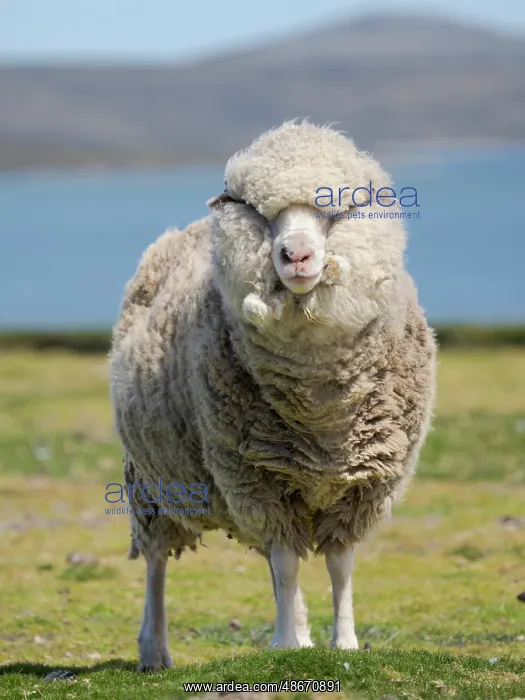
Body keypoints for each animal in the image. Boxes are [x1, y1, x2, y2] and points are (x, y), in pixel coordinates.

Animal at [109, 120, 436, 670]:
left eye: (334, 211)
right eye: (260, 215)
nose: (296, 256)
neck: (321, 411)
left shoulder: (360, 484)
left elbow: (338, 565)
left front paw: (341, 641)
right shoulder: (257, 478)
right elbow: (286, 564)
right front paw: (285, 643)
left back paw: (301, 631)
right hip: (153, 482)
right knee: (156, 561)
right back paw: (155, 650)